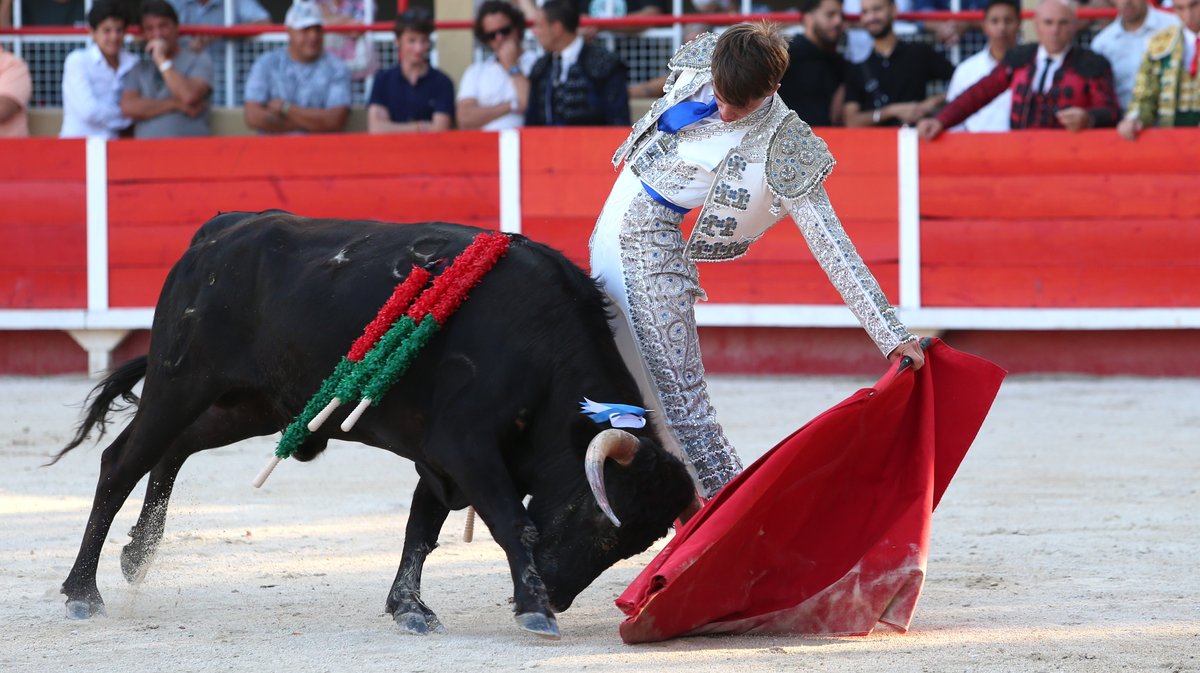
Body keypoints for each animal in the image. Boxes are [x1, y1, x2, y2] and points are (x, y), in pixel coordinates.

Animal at [54, 212, 696, 638]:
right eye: (600, 521)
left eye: (634, 546)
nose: (558, 595)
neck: (538, 349)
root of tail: (217, 232)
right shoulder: (464, 447)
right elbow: (512, 521)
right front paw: (532, 608)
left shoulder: (441, 460)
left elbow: (422, 530)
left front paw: (409, 608)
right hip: (180, 383)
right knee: (120, 463)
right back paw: (83, 592)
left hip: (250, 405)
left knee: (173, 450)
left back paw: (138, 556)